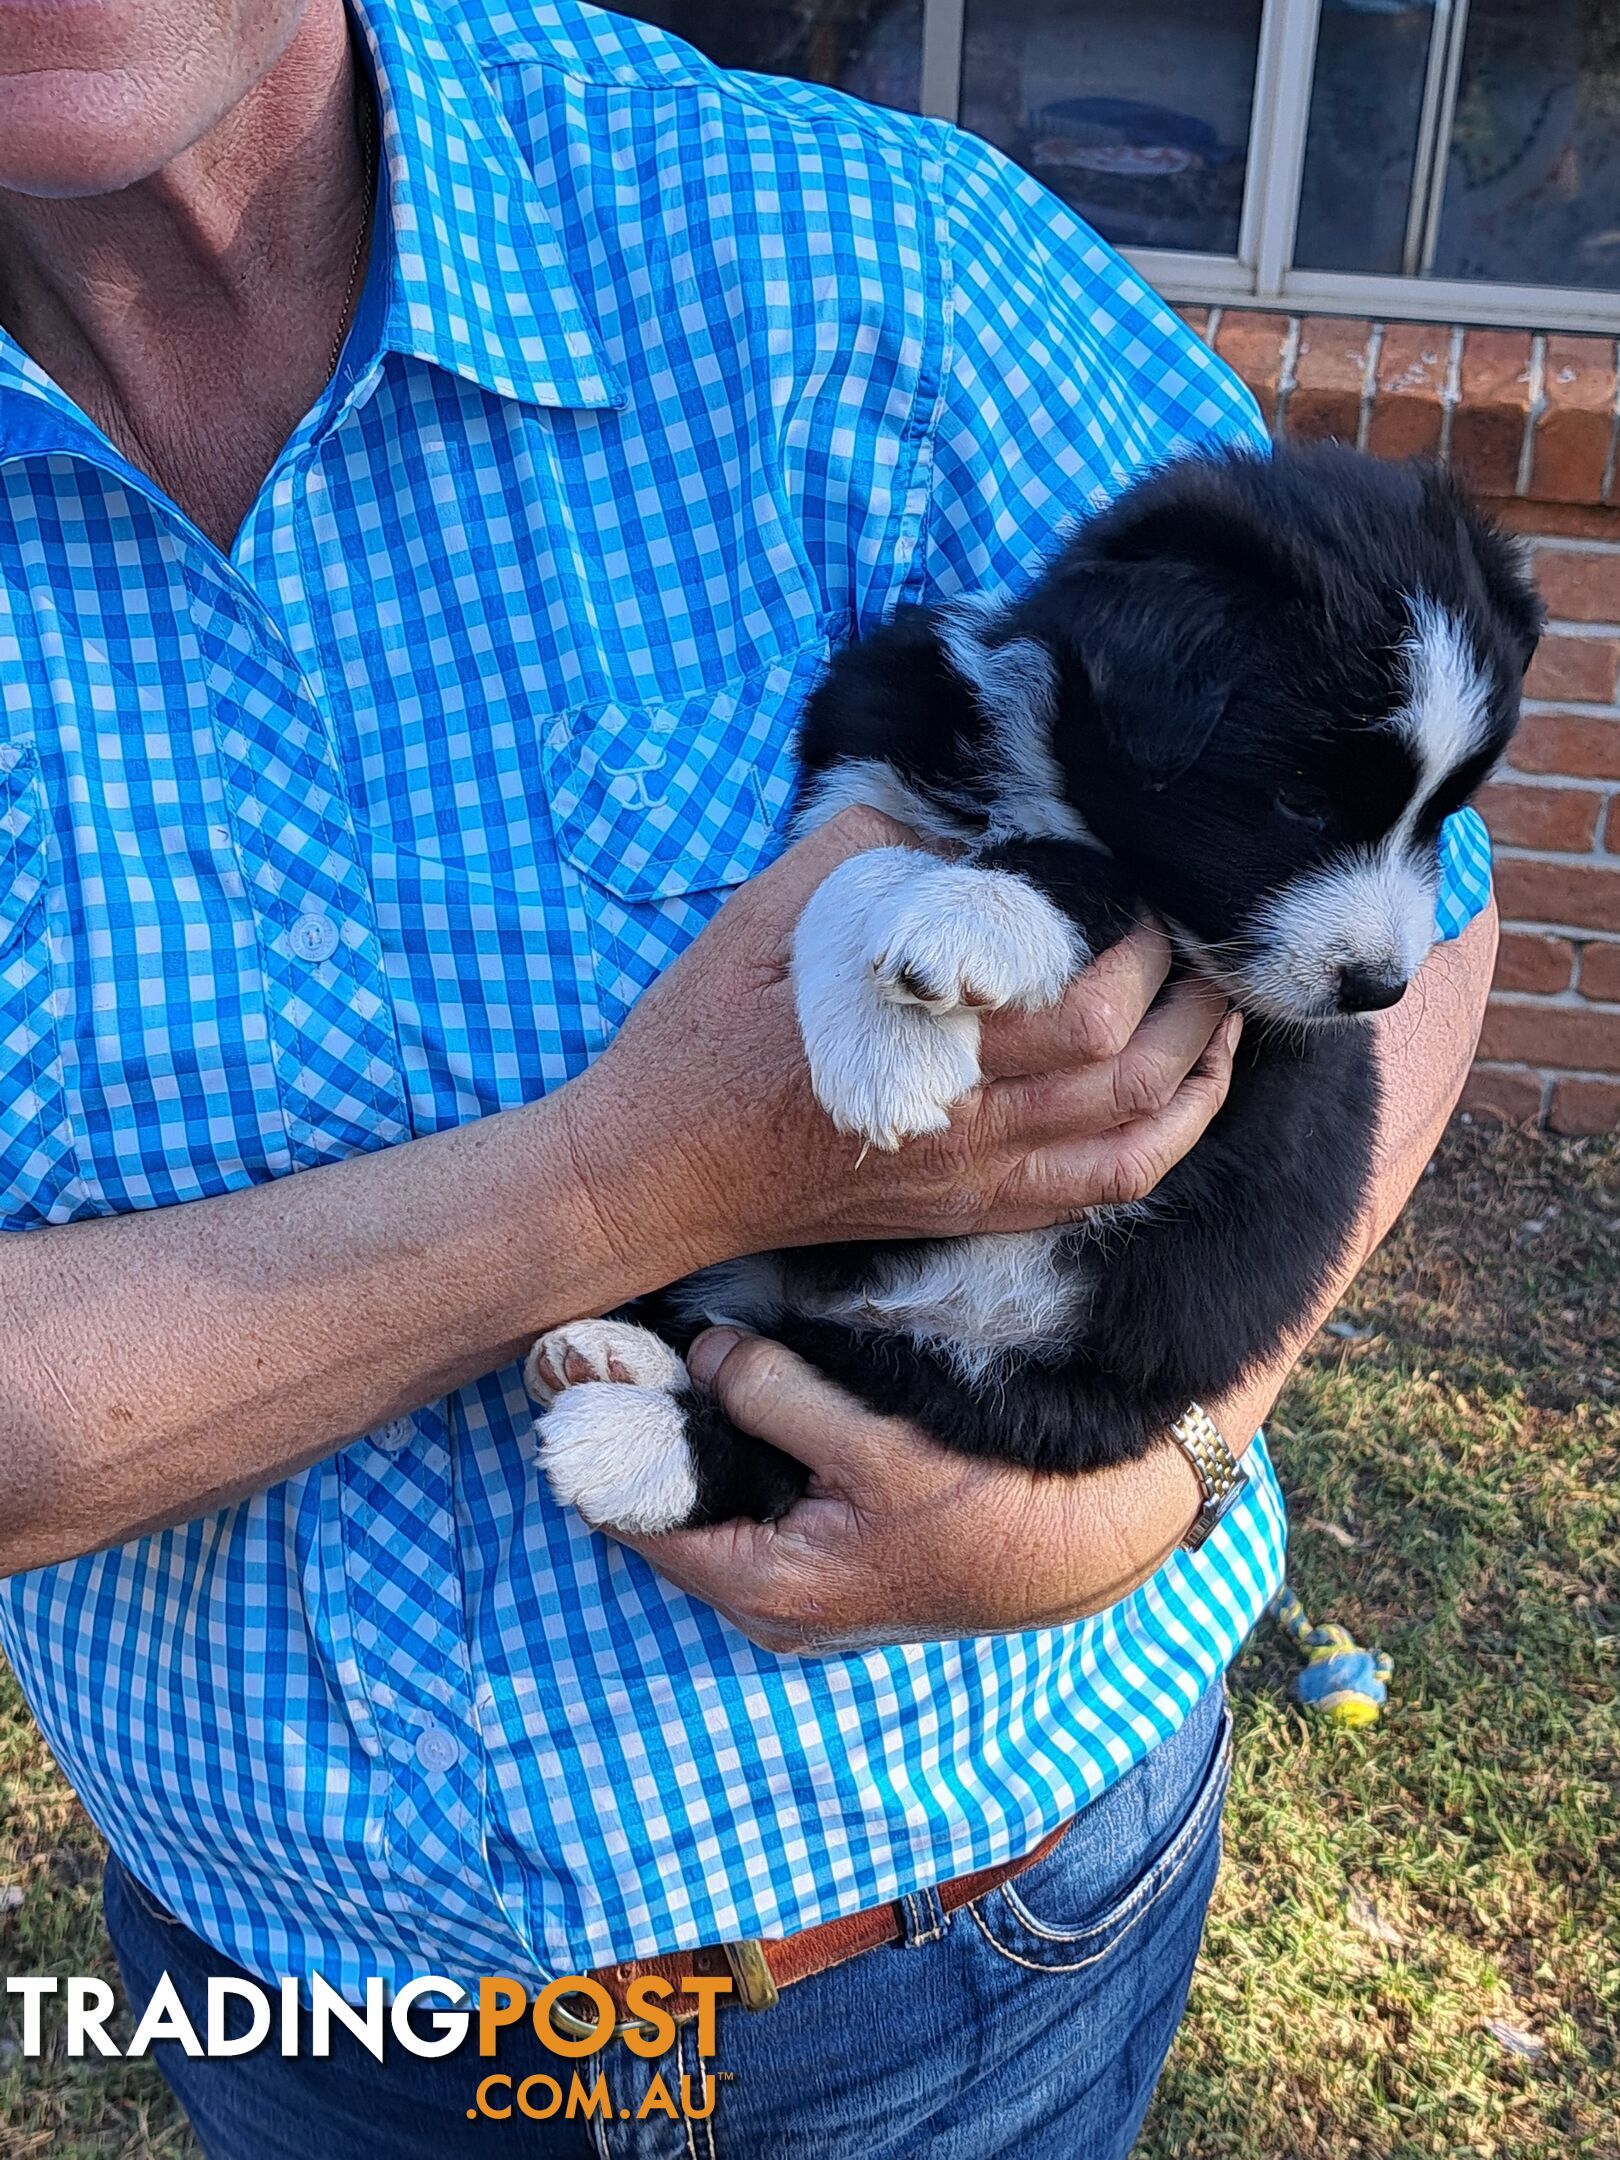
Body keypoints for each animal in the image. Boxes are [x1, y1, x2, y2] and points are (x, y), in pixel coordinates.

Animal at [527, 438, 1537, 1529]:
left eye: (1443, 817)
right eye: (1300, 800)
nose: (1377, 990)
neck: (1047, 773)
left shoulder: (1219, 987)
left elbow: (1091, 874)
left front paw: (944, 955)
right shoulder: (868, 761)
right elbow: (858, 867)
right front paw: (883, 1039)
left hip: (1028, 1385)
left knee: (824, 1408)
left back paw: (627, 1436)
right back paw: (617, 1359)